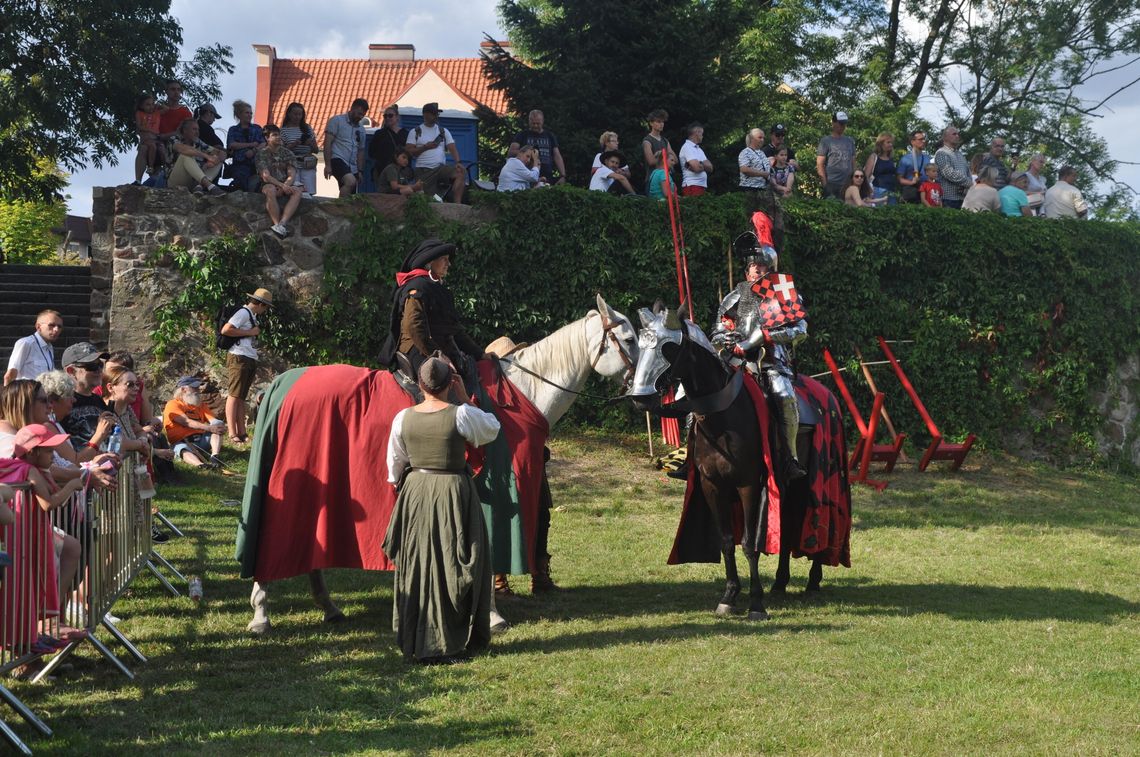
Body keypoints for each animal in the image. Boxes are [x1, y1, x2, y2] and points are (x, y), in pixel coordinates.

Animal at [248, 296, 638, 633]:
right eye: (630, 339)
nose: (640, 390)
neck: (522, 392)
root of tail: (283, 384)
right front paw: (493, 616)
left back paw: (328, 607)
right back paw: (261, 615)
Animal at [624, 307, 848, 620]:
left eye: (668, 347)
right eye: (641, 344)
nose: (639, 397)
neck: (723, 418)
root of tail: (829, 397)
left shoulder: (748, 485)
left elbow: (750, 544)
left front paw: (756, 604)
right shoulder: (712, 486)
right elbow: (728, 541)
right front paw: (730, 596)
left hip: (815, 478)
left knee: (819, 521)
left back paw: (813, 580)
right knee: (787, 526)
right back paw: (780, 583)